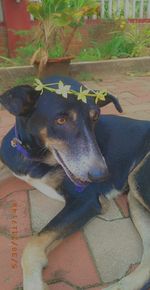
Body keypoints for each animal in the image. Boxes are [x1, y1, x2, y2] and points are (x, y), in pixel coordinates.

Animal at [0, 75, 149, 290]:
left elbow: (33, 244)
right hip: (135, 198)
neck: (35, 157)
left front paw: (34, 283)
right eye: (61, 120)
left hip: (138, 180)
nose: (102, 175)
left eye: (95, 117)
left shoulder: (85, 201)